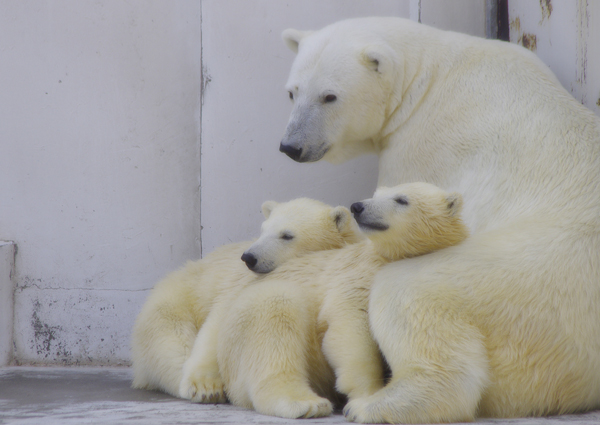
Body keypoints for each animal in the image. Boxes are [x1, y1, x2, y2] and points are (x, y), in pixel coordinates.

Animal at [280, 16, 600, 420]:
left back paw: (374, 405)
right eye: (292, 92)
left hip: (529, 282)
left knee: (409, 294)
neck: (425, 75)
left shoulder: (420, 145)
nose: (291, 146)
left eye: (329, 96)